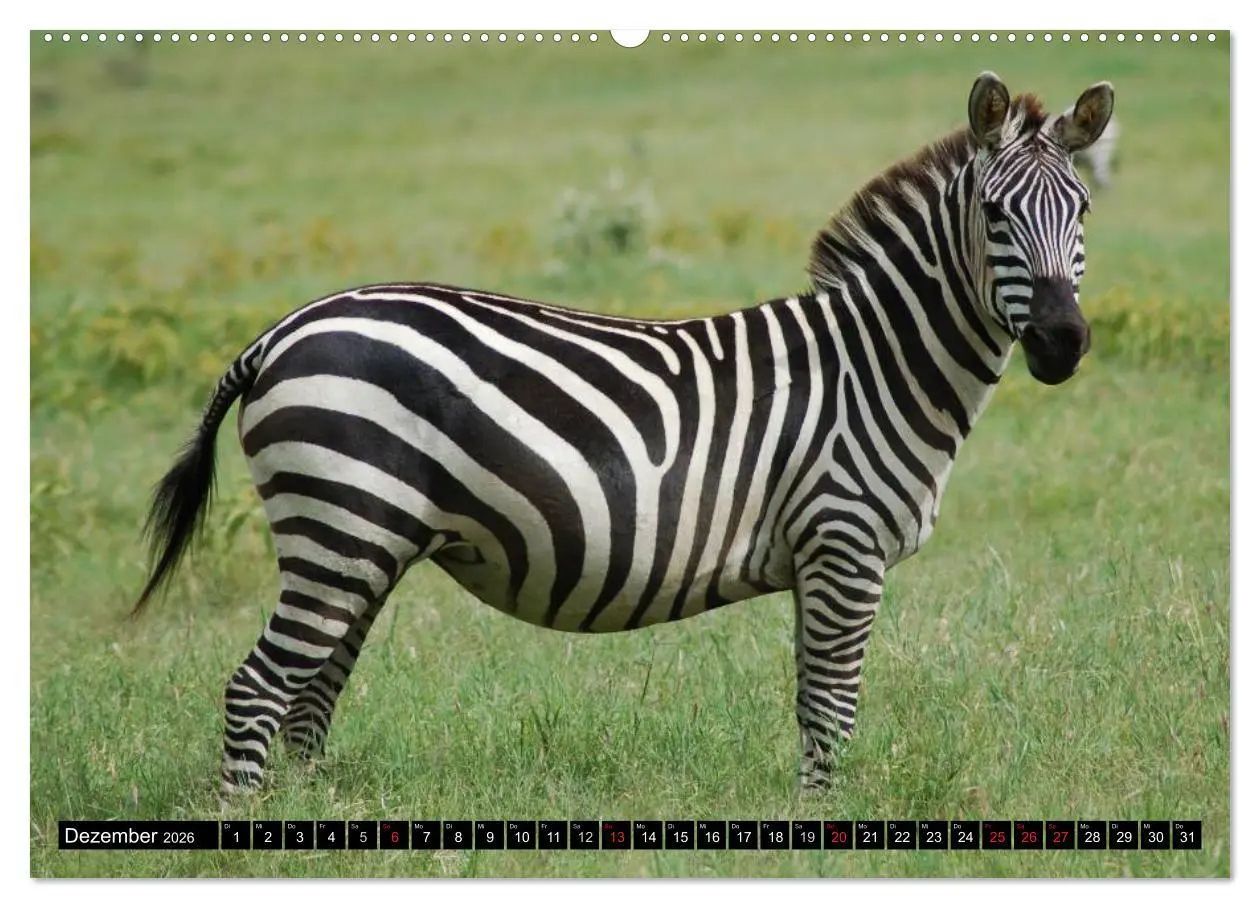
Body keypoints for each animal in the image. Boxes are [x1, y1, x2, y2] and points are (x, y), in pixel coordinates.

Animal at [133, 72, 1113, 796]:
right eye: (995, 216)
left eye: (1084, 213)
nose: (1062, 342)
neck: (874, 364)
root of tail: (279, 331)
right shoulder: (844, 544)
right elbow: (832, 708)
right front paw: (822, 830)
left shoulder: (818, 557)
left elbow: (812, 703)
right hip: (341, 523)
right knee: (259, 688)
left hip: (362, 538)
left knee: (311, 691)